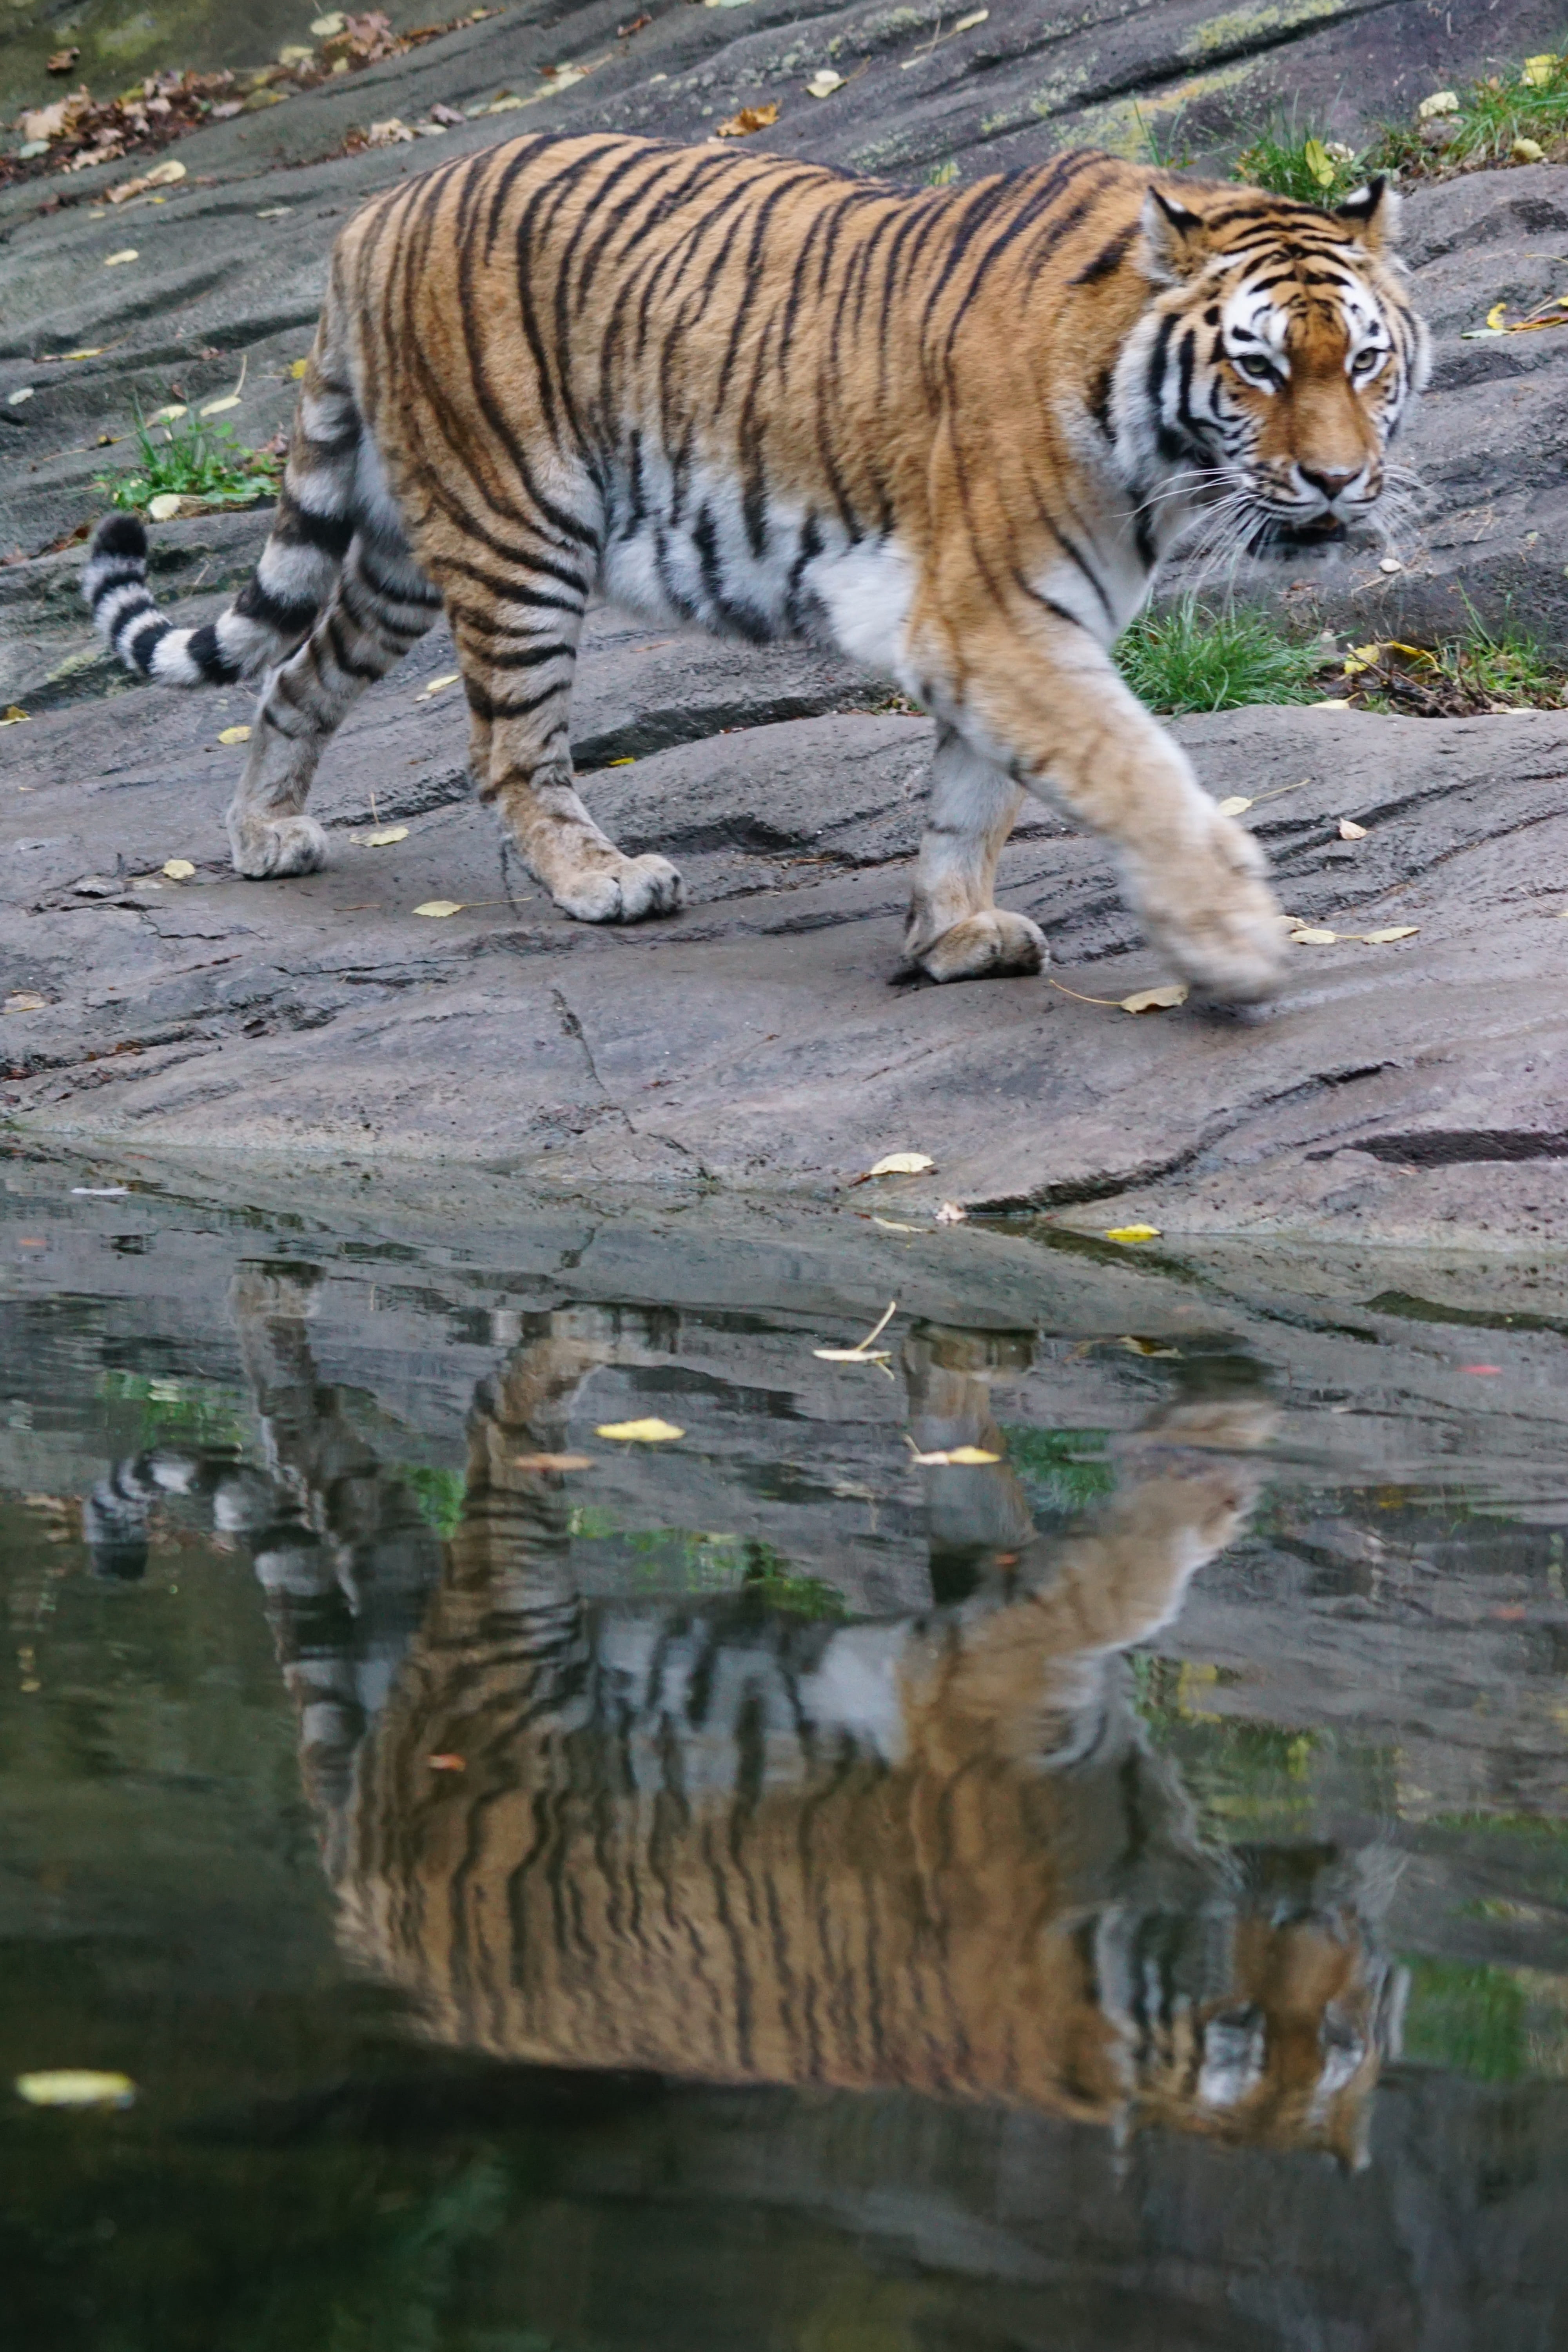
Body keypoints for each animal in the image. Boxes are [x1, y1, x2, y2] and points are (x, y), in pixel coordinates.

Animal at [81, 137, 1427, 1006]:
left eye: (1363, 363)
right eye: (1258, 367)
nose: (1336, 482)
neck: (1145, 435)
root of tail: (376, 211)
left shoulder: (1016, 627)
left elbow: (974, 799)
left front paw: (950, 936)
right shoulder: (995, 617)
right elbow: (1136, 771)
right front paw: (1231, 939)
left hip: (411, 551)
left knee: (294, 675)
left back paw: (266, 831)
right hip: (518, 535)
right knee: (508, 746)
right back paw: (604, 881)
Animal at [84, 1277, 1400, 2163]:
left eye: (1352, 2032)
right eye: (1254, 2034)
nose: (1341, 1921)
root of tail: (372, 1917)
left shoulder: (983, 1614)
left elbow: (971, 1464)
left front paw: (958, 1357)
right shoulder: (1001, 1668)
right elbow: (1162, 1543)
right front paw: (1230, 1399)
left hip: (394, 1592)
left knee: (309, 1444)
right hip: (511, 1608)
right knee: (497, 1411)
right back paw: (597, 1331)